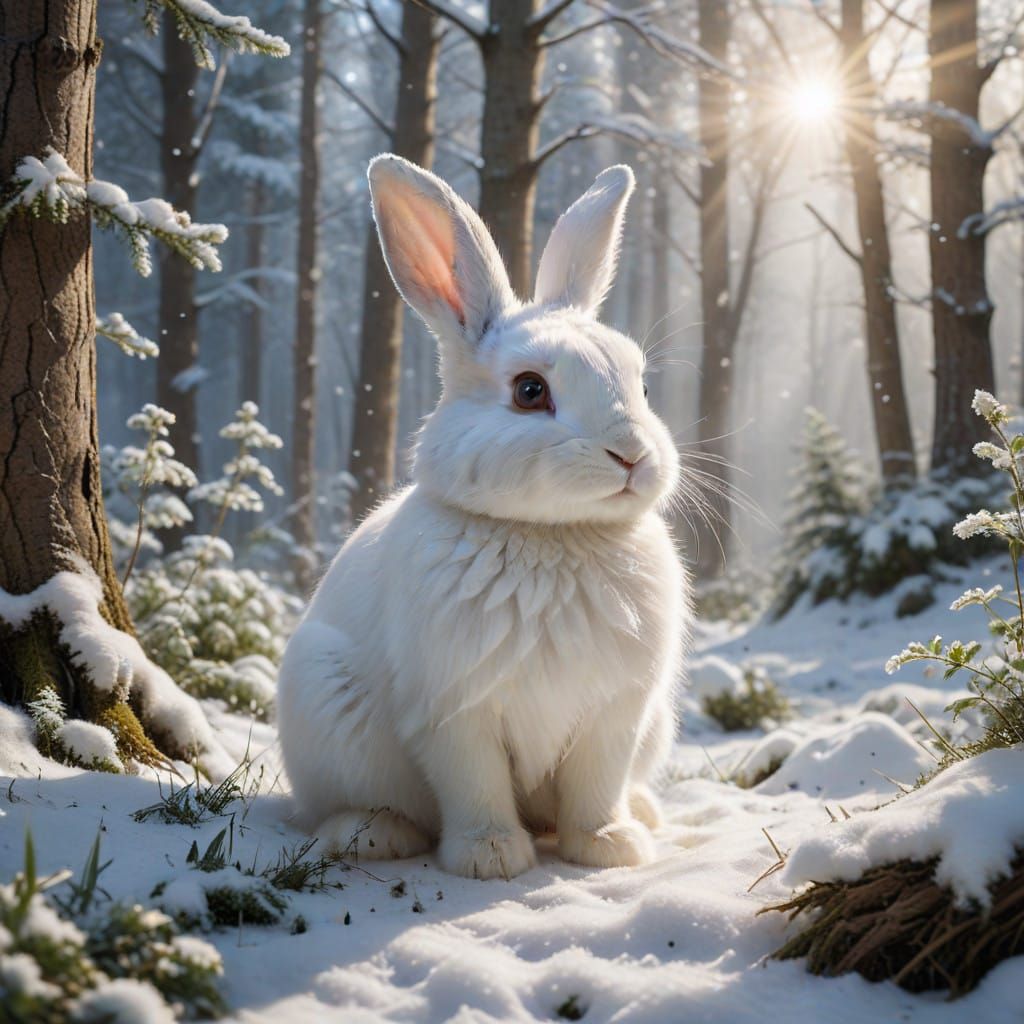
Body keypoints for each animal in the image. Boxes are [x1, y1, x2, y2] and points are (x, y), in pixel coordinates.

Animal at [276, 153, 689, 880]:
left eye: (641, 384)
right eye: (529, 391)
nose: (633, 456)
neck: (552, 535)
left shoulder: (616, 713)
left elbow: (596, 785)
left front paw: (609, 848)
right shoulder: (453, 713)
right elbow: (476, 784)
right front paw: (491, 858)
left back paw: (643, 814)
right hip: (326, 706)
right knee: (345, 806)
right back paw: (373, 836)